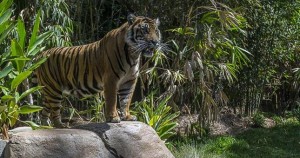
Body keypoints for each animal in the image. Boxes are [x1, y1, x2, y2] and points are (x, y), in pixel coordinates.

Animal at [35, 14, 163, 128]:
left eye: (156, 31)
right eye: (145, 30)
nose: (155, 42)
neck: (133, 54)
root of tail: (42, 53)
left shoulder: (129, 80)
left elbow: (126, 99)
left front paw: (127, 116)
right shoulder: (111, 79)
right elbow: (112, 100)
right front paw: (113, 118)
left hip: (49, 91)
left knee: (44, 112)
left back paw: (45, 127)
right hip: (54, 90)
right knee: (54, 111)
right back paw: (61, 126)